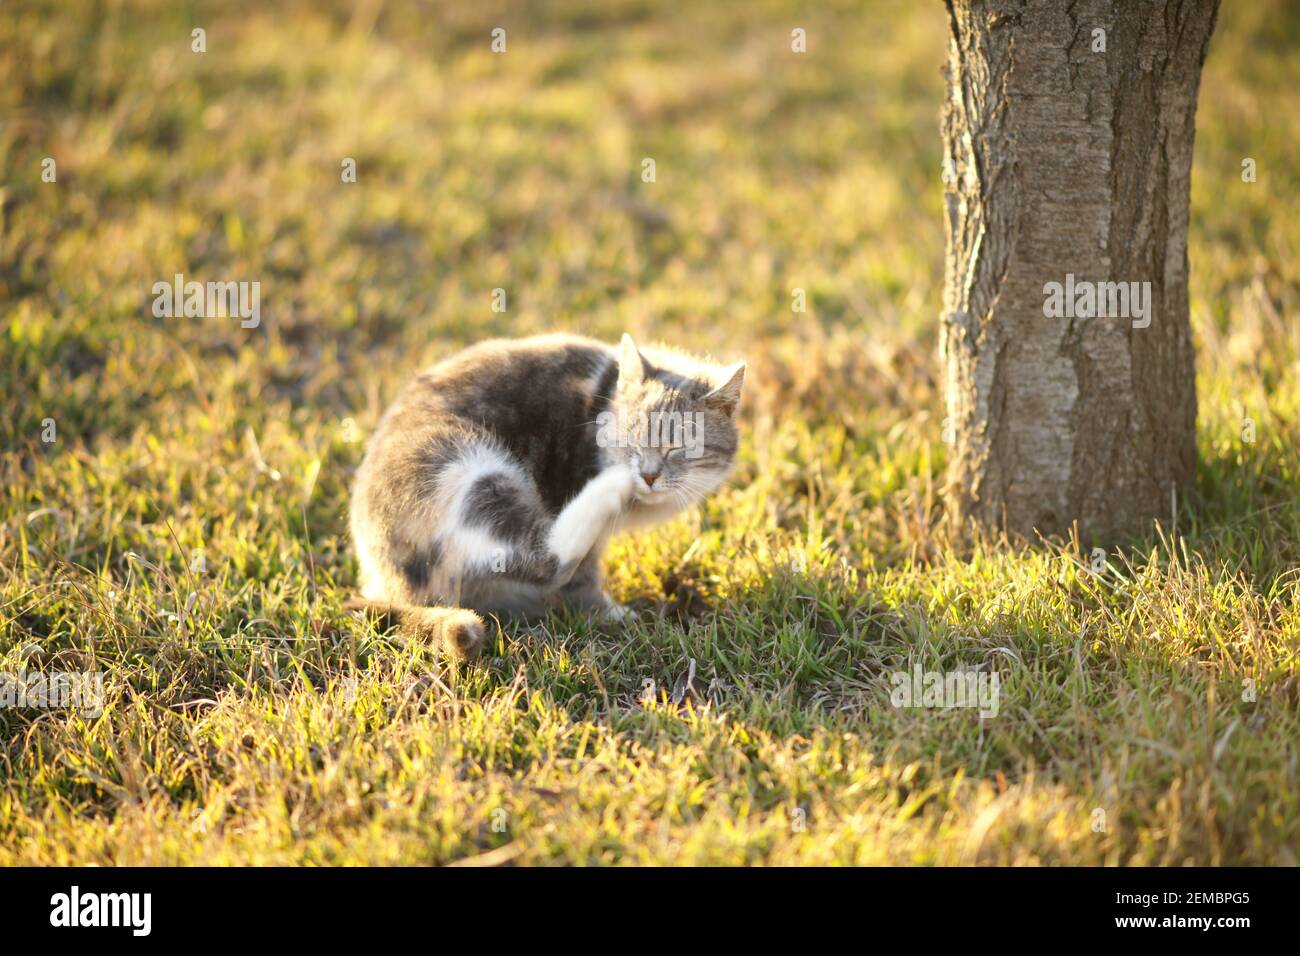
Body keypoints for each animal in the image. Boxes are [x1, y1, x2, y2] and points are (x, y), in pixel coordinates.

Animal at [351, 335, 748, 658]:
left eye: (679, 446)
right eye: (631, 440)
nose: (647, 475)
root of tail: (382, 582)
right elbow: (581, 577)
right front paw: (607, 613)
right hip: (469, 469)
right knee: (547, 559)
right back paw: (610, 487)